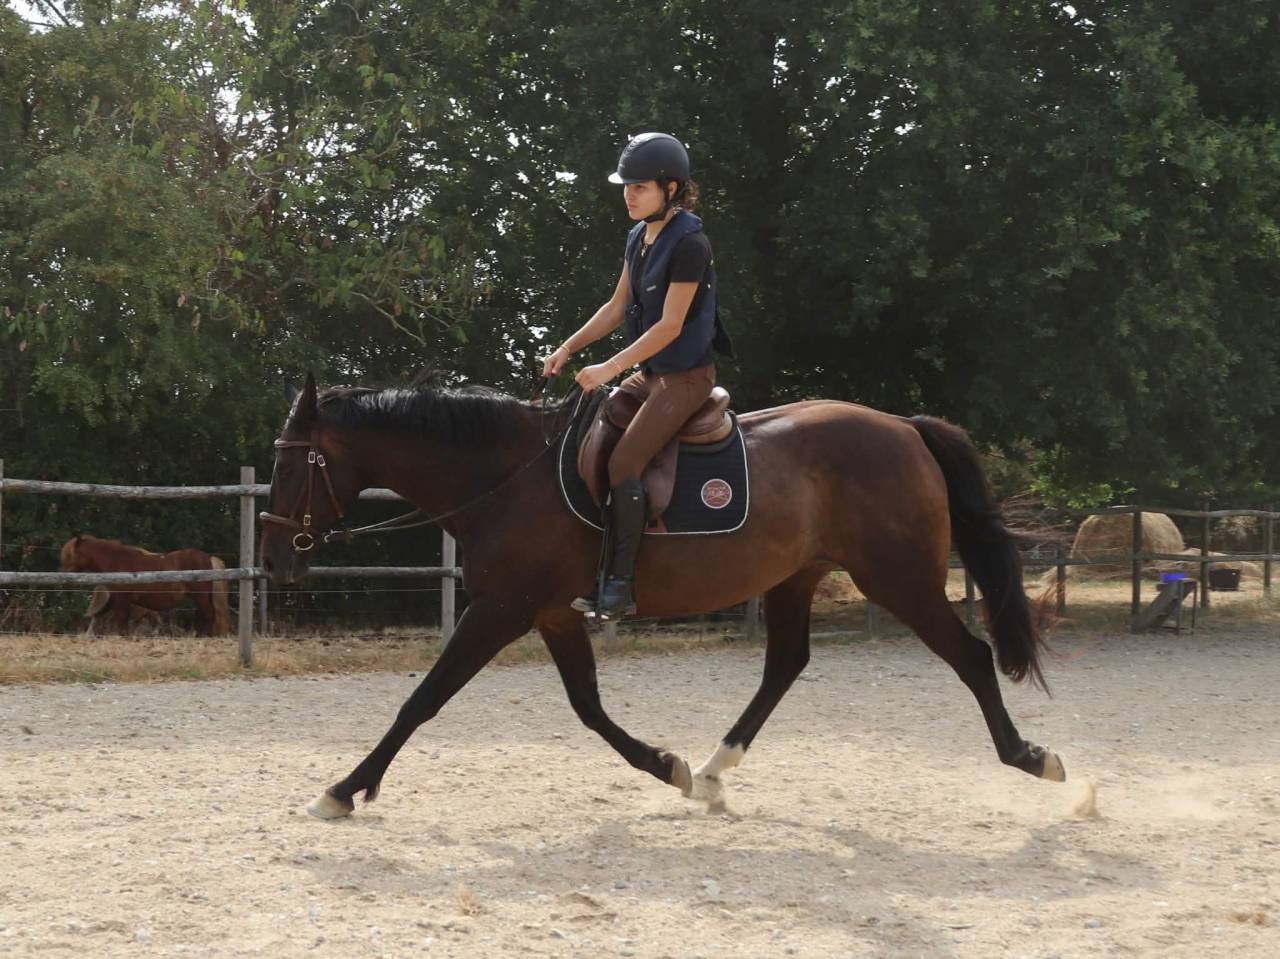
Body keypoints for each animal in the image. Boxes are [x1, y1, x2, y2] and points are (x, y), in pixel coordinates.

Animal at [60, 535, 231, 636]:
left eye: (69, 556)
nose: (65, 578)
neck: (117, 561)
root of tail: (209, 558)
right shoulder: (115, 599)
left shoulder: (122, 600)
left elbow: (121, 621)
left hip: (201, 597)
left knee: (208, 615)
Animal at [260, 374, 1065, 820]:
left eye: (294, 466)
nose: (272, 560)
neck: (506, 474)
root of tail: (904, 426)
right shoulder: (548, 613)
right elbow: (588, 707)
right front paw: (666, 765)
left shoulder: (502, 609)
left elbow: (421, 700)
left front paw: (342, 788)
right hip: (798, 577)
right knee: (785, 665)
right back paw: (711, 772)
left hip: (898, 579)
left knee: (972, 655)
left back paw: (1032, 757)